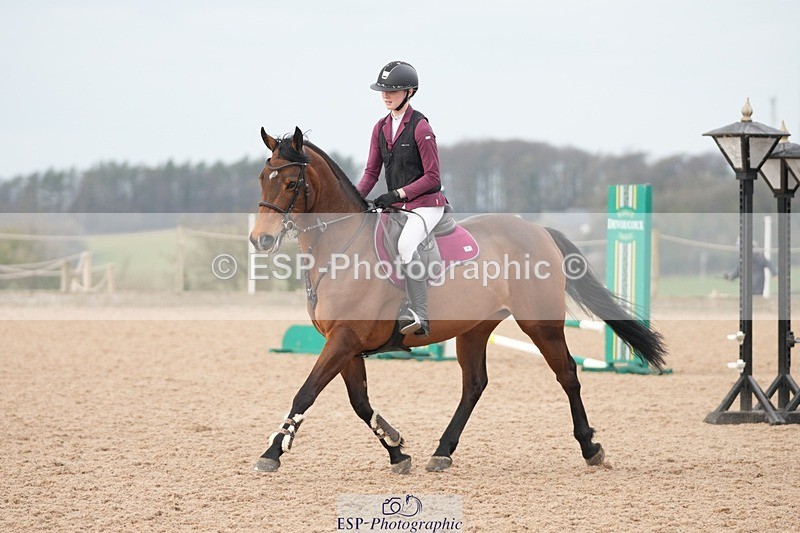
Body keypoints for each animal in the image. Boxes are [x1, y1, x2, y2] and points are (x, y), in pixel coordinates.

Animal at [249, 126, 666, 474]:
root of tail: (537, 230)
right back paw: (442, 452)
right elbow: (360, 403)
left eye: (290, 182)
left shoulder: (345, 339)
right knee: (474, 384)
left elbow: (306, 393)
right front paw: (397, 449)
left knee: (567, 373)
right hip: (475, 328)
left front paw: (272, 452)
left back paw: (590, 448)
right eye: (261, 179)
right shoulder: (346, 344)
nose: (260, 240)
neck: (341, 248)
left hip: (540, 324)